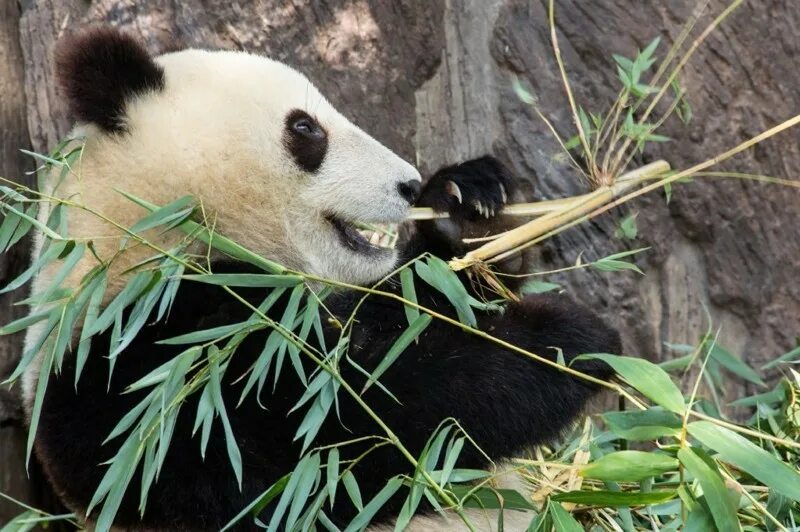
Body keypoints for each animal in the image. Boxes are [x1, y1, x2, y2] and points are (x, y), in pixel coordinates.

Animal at [17, 26, 620, 532]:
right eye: (305, 127)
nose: (409, 184)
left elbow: (415, 308)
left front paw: (466, 208)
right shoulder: (146, 378)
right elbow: (354, 424)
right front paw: (567, 341)